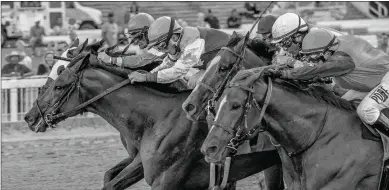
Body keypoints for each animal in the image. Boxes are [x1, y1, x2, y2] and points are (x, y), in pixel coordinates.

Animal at [23, 42, 278, 189]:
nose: (30, 117)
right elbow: (109, 178)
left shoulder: (164, 179)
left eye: (59, 83)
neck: (158, 117)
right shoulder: (139, 160)